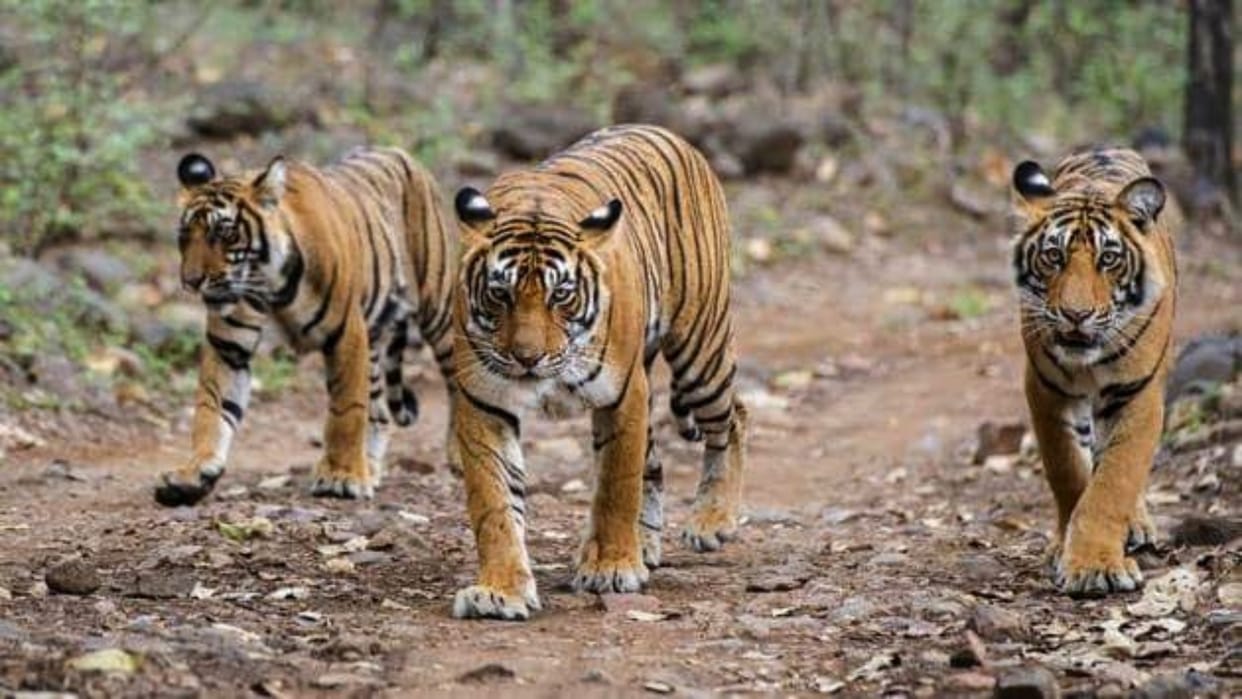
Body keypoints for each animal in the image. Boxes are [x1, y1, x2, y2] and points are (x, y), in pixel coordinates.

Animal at [153, 147, 457, 507]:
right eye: (185, 236)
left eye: (224, 234)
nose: (191, 281)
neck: (269, 286)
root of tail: (397, 152)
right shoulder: (228, 347)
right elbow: (211, 408)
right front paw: (193, 474)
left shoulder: (346, 334)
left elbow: (346, 410)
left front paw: (341, 477)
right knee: (380, 410)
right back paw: (369, 467)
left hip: (439, 309)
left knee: (457, 380)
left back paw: (454, 455)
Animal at [448, 124, 748, 620]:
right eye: (500, 294)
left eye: (561, 295)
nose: (527, 358)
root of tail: (667, 132)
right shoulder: (484, 400)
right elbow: (494, 503)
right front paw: (500, 591)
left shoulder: (622, 394)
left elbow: (615, 486)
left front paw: (610, 567)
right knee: (656, 462)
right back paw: (646, 544)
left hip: (699, 352)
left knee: (733, 417)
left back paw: (711, 520)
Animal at [1010, 147, 1177, 597]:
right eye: (1054, 256)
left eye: (1109, 259)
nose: (1076, 314)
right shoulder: (1045, 390)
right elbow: (1068, 470)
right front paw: (1067, 549)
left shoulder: (1137, 395)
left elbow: (1114, 481)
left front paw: (1094, 566)